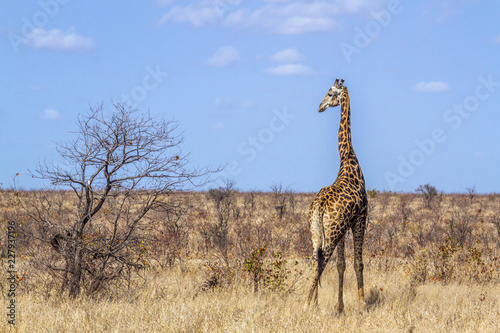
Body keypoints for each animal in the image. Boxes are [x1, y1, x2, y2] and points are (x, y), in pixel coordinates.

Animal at [304, 79, 368, 312]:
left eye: (330, 93)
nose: (320, 106)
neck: (348, 159)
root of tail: (320, 206)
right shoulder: (360, 218)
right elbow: (358, 263)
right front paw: (362, 305)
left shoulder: (345, 225)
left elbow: (341, 265)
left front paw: (340, 306)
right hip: (331, 232)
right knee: (322, 261)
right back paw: (306, 304)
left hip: (317, 231)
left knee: (316, 259)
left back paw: (313, 303)